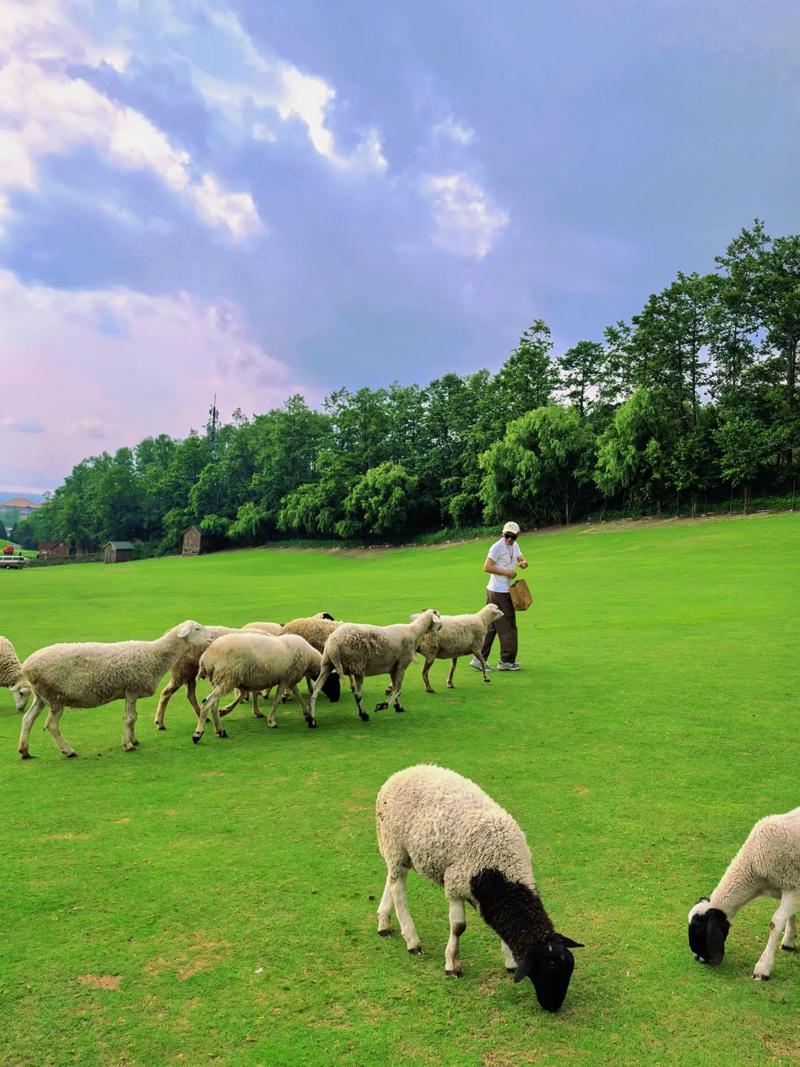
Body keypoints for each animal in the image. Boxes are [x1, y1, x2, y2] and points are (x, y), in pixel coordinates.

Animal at [18, 618, 213, 759]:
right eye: (197, 629)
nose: (212, 637)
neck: (154, 655)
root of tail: (26, 666)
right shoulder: (132, 688)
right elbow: (130, 718)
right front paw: (128, 745)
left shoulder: (130, 692)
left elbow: (133, 718)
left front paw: (133, 740)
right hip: (55, 697)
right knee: (51, 725)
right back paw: (68, 751)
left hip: (41, 696)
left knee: (27, 719)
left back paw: (24, 751)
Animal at [197, 631, 345, 742]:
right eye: (334, 681)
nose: (336, 699)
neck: (309, 659)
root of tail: (205, 658)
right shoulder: (285, 679)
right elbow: (278, 700)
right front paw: (271, 721)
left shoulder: (290, 679)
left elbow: (298, 696)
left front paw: (307, 714)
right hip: (226, 677)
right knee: (207, 703)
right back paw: (198, 734)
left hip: (220, 680)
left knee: (213, 705)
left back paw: (220, 730)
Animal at [309, 606, 445, 729]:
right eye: (438, 615)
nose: (441, 626)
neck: (414, 631)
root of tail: (333, 643)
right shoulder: (401, 665)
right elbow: (398, 690)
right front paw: (382, 706)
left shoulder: (393, 668)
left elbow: (395, 689)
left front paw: (398, 707)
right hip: (358, 665)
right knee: (358, 694)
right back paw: (364, 715)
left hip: (326, 664)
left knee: (315, 691)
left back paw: (312, 720)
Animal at [375, 763, 584, 1011]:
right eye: (547, 973)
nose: (553, 1007)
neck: (503, 872)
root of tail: (403, 772)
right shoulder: (456, 883)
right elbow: (458, 927)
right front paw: (452, 966)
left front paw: (510, 961)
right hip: (394, 842)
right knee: (398, 889)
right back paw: (412, 940)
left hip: (401, 852)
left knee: (391, 879)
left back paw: (384, 923)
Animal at [686, 802, 800, 977]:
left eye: (700, 930)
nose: (697, 958)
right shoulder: (789, 884)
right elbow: (791, 915)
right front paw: (789, 941)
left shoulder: (794, 886)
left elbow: (776, 923)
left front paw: (763, 968)